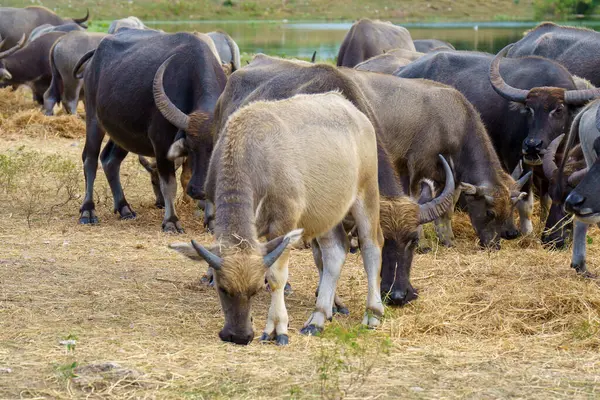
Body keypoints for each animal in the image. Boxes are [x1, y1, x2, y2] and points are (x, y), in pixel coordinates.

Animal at [78, 28, 227, 231]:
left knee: (110, 160)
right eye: (190, 147)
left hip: (123, 134)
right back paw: (88, 211)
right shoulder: (161, 144)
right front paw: (171, 221)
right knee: (90, 159)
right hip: (93, 119)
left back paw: (124, 208)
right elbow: (169, 184)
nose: (197, 190)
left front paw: (211, 221)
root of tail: (95, 57)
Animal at [171, 92, 386, 346]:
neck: (251, 154)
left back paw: (373, 312)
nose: (238, 336)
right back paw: (318, 318)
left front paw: (276, 327)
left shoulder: (284, 223)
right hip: (327, 213)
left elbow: (276, 277)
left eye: (255, 290)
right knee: (335, 251)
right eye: (222, 288)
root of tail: (355, 113)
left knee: (372, 245)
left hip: (366, 194)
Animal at [394, 48, 600, 239]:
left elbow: (547, 198)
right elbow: (525, 200)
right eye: (529, 110)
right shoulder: (517, 159)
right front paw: (527, 233)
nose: (532, 145)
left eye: (559, 109)